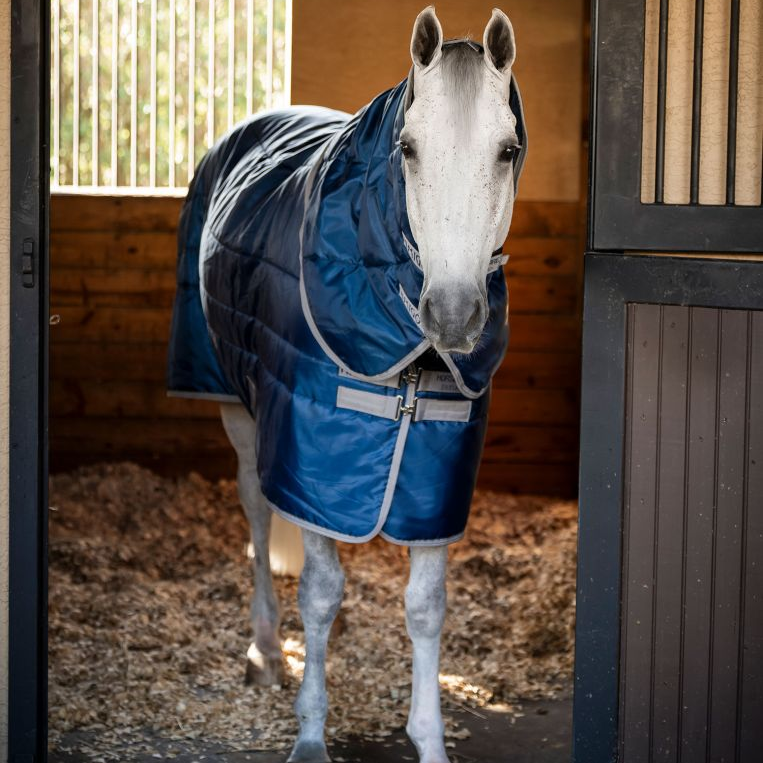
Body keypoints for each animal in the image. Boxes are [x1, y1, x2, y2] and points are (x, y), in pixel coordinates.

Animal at [167, 7, 526, 762]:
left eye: (507, 150)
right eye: (408, 148)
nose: (453, 314)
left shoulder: (435, 477)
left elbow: (426, 606)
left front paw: (429, 738)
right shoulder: (309, 453)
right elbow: (321, 588)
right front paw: (310, 732)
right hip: (236, 405)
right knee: (257, 508)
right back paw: (267, 649)